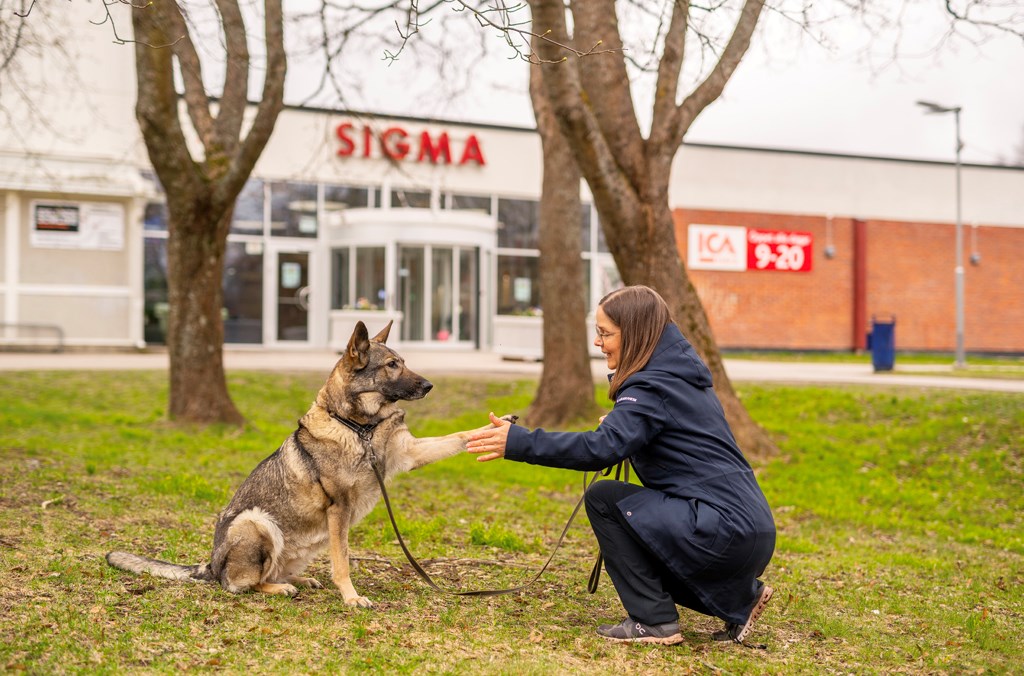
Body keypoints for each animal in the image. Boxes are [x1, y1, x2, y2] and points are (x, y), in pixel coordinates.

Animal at [108, 321, 507, 606]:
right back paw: (278, 588)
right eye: (392, 365)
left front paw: (500, 427)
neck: (359, 428)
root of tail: (209, 564)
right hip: (256, 522)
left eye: (404, 363)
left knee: (271, 572)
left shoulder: (409, 453)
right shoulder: (339, 509)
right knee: (239, 584)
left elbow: (459, 436)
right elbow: (342, 561)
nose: (428, 385)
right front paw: (351, 597)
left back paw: (295, 579)